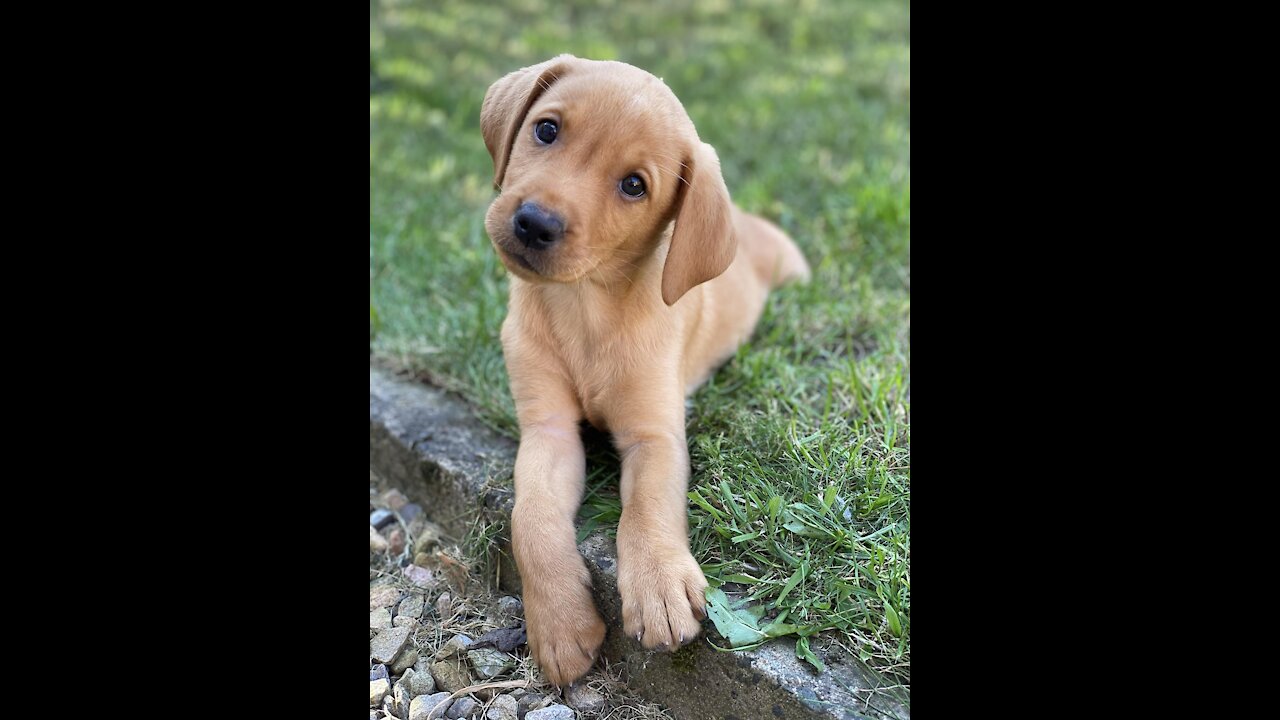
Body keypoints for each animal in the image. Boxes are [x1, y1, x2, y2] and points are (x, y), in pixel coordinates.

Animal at [481, 53, 808, 681]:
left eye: (635, 185)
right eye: (546, 130)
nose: (534, 222)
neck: (586, 307)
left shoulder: (656, 435)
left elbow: (648, 507)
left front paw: (659, 586)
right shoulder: (548, 430)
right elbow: (529, 519)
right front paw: (559, 625)